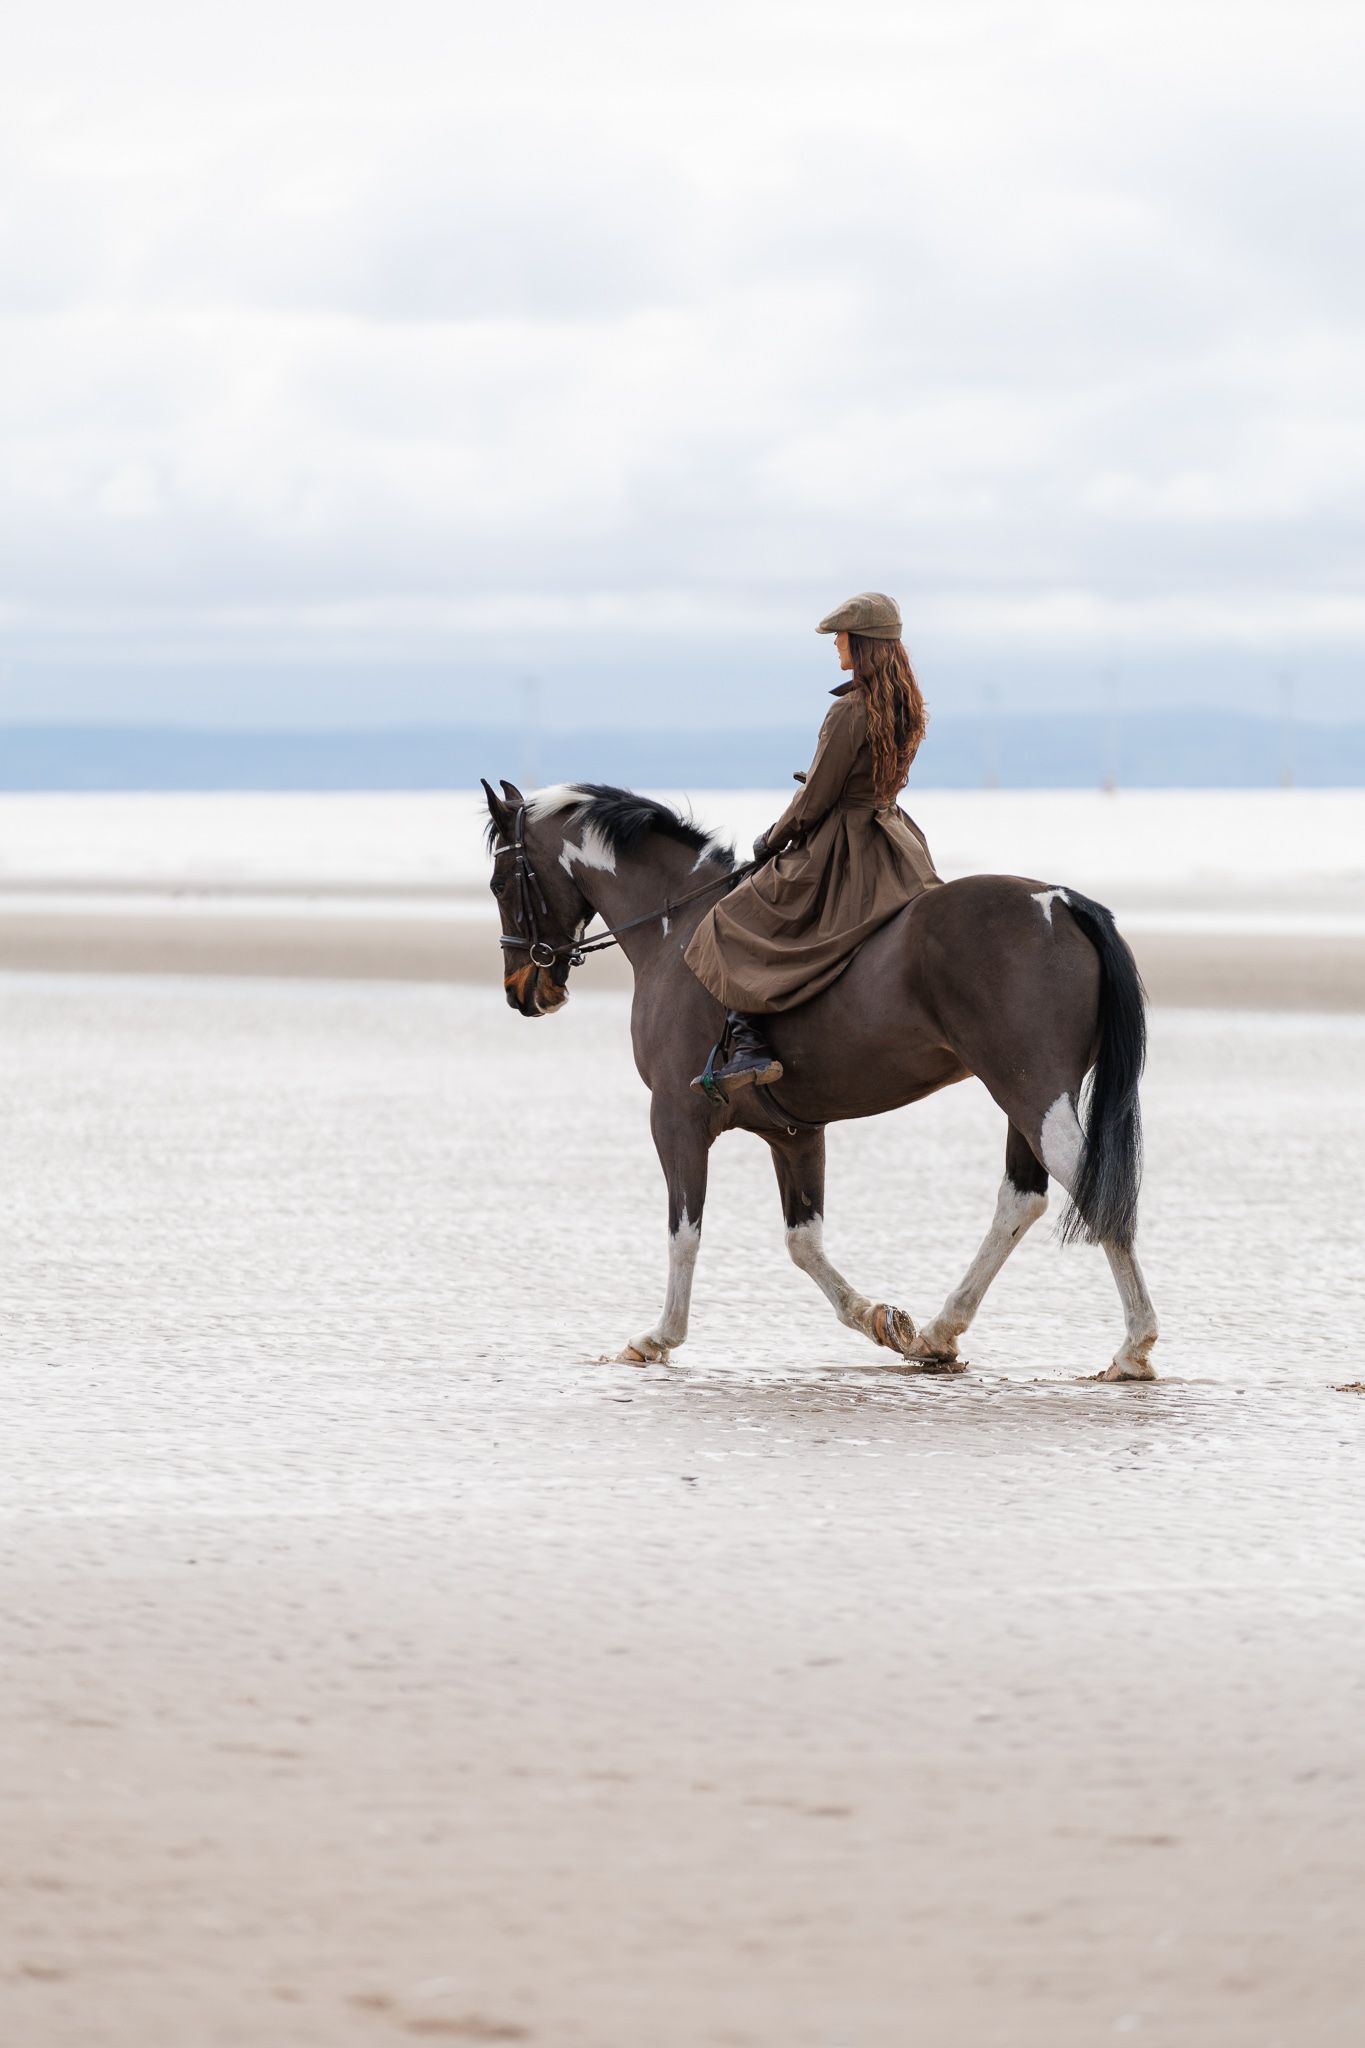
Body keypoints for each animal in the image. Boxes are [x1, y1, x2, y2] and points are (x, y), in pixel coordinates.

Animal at [481, 776, 1159, 1381]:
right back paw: (940, 1333)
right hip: (1021, 1098)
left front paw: (658, 1338)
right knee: (1022, 1199)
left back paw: (1134, 1346)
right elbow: (803, 1242)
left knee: (1091, 1187)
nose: (522, 991)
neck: (679, 928)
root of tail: (1060, 901)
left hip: (1031, 1090)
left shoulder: (674, 1117)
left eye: (499, 882)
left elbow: (684, 1230)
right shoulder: (794, 1133)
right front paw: (881, 1320)